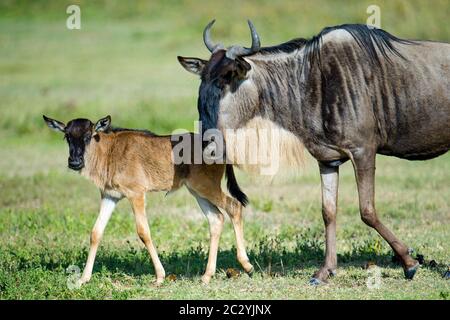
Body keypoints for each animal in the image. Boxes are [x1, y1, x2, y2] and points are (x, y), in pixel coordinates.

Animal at [44, 115, 255, 284]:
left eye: (88, 136)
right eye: (67, 136)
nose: (74, 162)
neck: (109, 152)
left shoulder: (136, 194)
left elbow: (143, 232)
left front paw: (160, 276)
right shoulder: (110, 196)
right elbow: (96, 232)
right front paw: (83, 279)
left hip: (206, 187)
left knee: (234, 207)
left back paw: (247, 265)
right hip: (197, 191)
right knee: (216, 219)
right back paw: (206, 276)